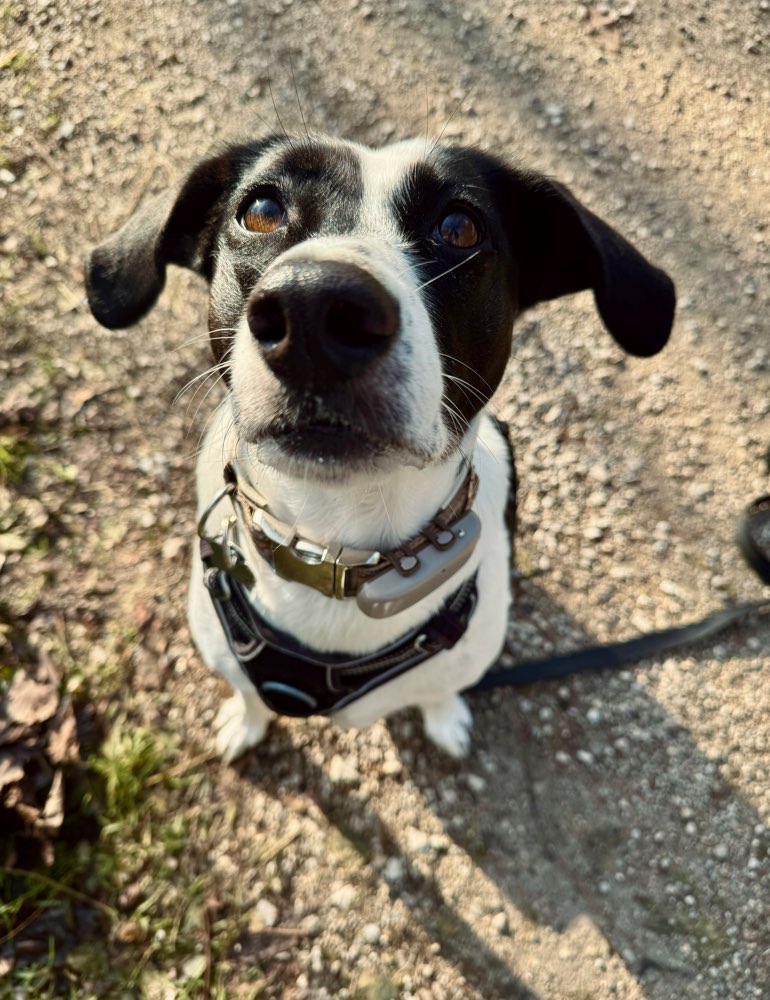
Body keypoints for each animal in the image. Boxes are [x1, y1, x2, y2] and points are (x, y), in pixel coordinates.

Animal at [85, 131, 672, 756]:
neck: (338, 540)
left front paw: (445, 718)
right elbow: (250, 693)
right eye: (262, 210)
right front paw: (245, 721)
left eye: (460, 227)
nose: (315, 307)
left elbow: (441, 689)